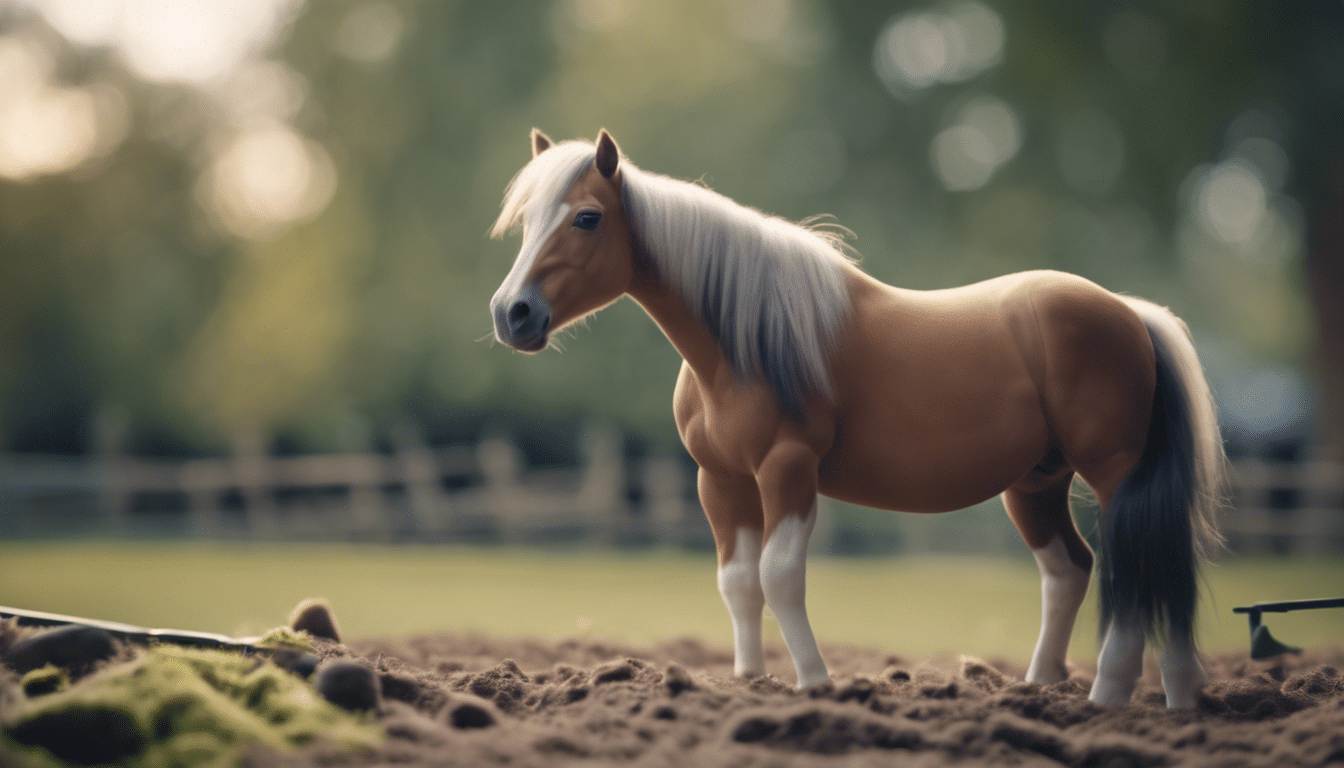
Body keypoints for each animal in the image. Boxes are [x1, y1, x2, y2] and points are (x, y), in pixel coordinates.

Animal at [489, 127, 1225, 710]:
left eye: (587, 217)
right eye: (527, 221)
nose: (511, 313)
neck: (743, 343)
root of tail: (1130, 314)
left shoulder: (787, 469)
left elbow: (780, 575)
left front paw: (815, 682)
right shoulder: (720, 481)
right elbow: (738, 583)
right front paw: (748, 682)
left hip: (1113, 474)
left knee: (1139, 569)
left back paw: (1112, 697)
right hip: (1036, 483)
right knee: (1072, 569)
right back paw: (1084, 693)